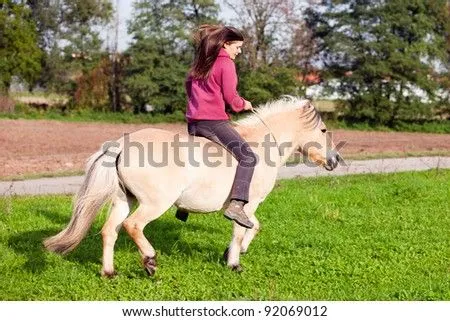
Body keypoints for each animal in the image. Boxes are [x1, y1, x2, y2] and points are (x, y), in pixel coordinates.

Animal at [44, 96, 342, 276]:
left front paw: (234, 252)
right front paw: (234, 262)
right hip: (153, 204)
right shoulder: (247, 204)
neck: (262, 145)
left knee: (109, 231)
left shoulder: (245, 207)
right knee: (133, 226)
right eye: (324, 130)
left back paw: (109, 273)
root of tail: (120, 145)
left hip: (123, 200)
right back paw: (150, 261)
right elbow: (242, 230)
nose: (335, 160)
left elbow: (254, 227)